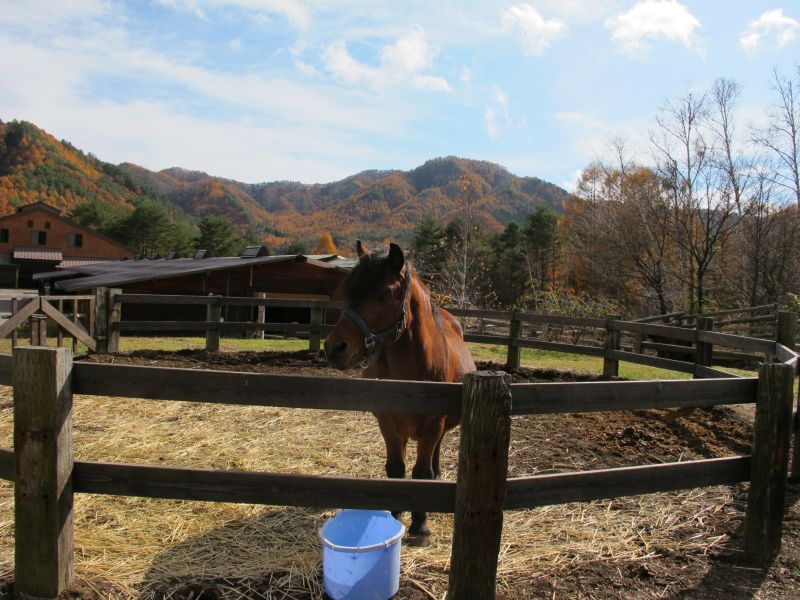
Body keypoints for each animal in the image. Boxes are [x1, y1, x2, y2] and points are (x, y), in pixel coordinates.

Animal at [324, 241, 476, 536]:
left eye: (384, 294)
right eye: (351, 293)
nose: (335, 347)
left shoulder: (433, 425)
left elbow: (420, 473)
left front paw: (420, 524)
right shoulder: (389, 424)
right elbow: (396, 470)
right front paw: (394, 515)